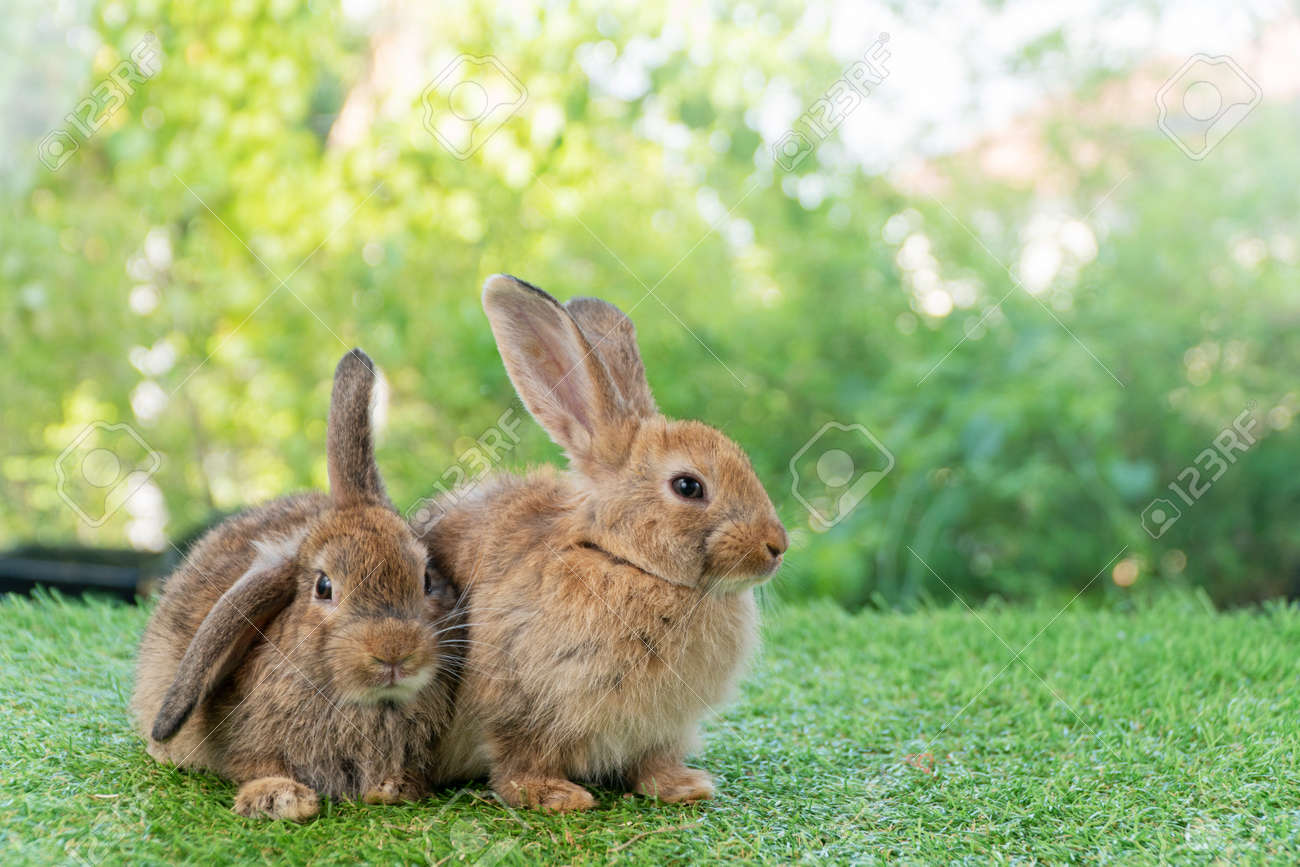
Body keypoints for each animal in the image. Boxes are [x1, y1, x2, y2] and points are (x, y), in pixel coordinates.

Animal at [131, 348, 465, 821]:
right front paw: (281, 799)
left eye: (427, 579)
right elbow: (255, 764)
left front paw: (394, 787)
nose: (394, 652)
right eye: (323, 587)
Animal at [418, 278, 780, 816]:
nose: (776, 546)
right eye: (688, 487)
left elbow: (653, 761)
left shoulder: (660, 728)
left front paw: (683, 786)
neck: (621, 559)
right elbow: (518, 757)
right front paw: (556, 796)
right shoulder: (516, 699)